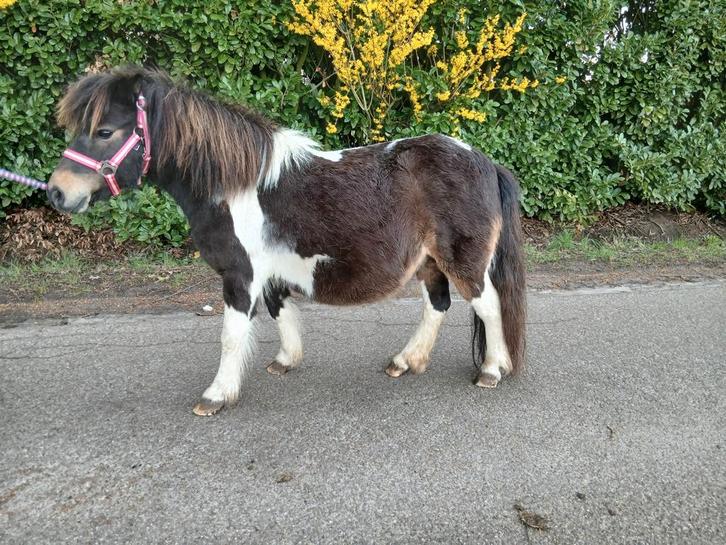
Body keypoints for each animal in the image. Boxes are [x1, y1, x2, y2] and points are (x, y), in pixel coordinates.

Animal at [46, 66, 526, 416]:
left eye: (105, 131)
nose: (56, 192)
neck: (235, 185)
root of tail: (484, 161)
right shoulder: (268, 272)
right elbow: (280, 311)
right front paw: (285, 360)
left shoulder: (240, 275)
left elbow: (231, 336)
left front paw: (217, 395)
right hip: (429, 261)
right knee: (437, 305)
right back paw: (406, 361)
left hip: (463, 260)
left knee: (487, 306)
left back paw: (491, 370)